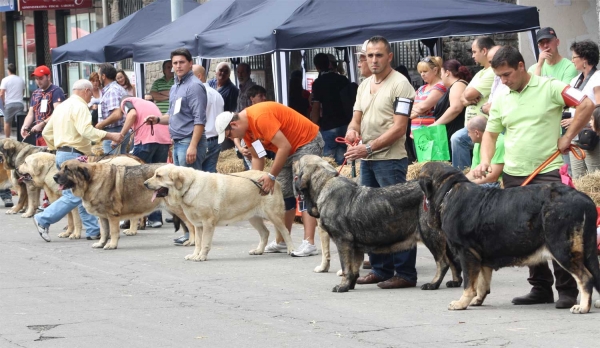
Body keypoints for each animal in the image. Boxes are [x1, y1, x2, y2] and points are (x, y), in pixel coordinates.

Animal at [145, 165, 296, 260]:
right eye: (155, 174)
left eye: (158, 176)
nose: (145, 184)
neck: (190, 186)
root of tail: (273, 180)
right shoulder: (198, 225)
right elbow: (198, 242)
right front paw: (195, 255)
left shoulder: (208, 223)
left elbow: (205, 242)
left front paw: (201, 257)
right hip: (253, 218)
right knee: (265, 233)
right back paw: (258, 250)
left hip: (274, 215)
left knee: (285, 232)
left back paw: (291, 249)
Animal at [290, 155, 460, 294]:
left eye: (299, 163)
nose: (292, 160)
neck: (325, 183)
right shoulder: (355, 247)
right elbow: (353, 269)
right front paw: (350, 284)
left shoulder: (343, 241)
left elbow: (346, 267)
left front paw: (342, 286)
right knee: (454, 261)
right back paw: (456, 282)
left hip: (430, 235)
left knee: (443, 263)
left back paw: (433, 284)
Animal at [420, 162, 600, 314]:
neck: (448, 191)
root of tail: (585, 200)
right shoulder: (481, 257)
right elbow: (482, 283)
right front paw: (477, 299)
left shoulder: (467, 253)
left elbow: (469, 284)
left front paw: (462, 302)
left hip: (562, 249)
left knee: (586, 278)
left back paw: (583, 307)